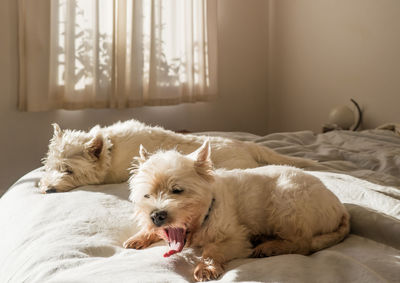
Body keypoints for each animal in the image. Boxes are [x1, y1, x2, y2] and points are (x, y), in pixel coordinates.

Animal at [124, 143, 350, 282]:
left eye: (177, 190)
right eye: (147, 195)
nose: (156, 216)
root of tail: (340, 208)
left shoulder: (236, 238)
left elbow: (213, 249)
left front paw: (205, 267)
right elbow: (150, 231)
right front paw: (140, 236)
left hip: (287, 200)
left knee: (301, 243)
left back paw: (270, 247)